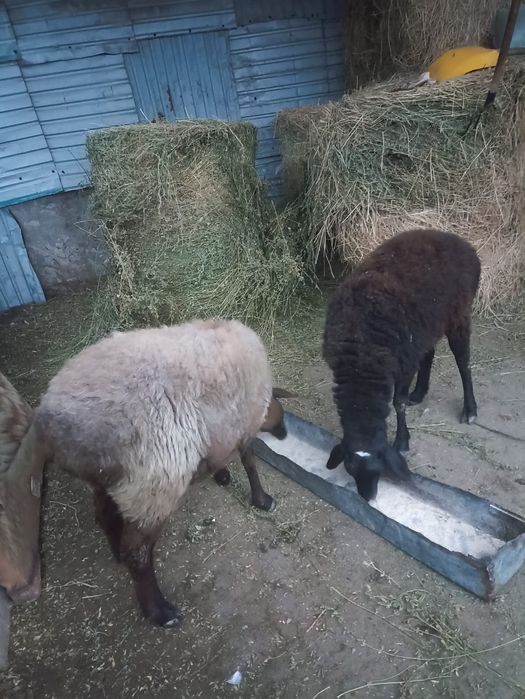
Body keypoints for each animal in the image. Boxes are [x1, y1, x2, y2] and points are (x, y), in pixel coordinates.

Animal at [1, 319, 293, 627]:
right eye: (282, 414)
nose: (284, 433)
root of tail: (49, 423)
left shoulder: (223, 430)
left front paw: (222, 475)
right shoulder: (244, 426)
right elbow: (250, 463)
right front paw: (262, 500)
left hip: (114, 481)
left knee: (105, 517)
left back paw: (117, 552)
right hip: (152, 487)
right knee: (138, 553)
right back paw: (160, 611)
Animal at [322, 229, 481, 501]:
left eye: (379, 470)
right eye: (350, 470)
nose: (368, 498)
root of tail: (457, 240)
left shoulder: (402, 364)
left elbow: (398, 403)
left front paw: (402, 442)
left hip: (458, 315)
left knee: (464, 362)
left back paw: (469, 409)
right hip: (425, 327)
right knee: (428, 353)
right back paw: (419, 393)